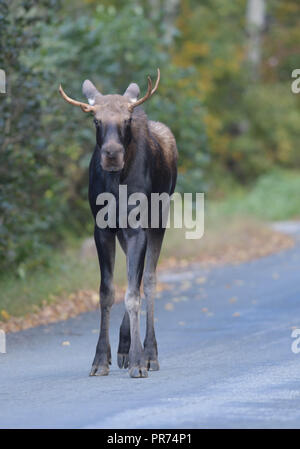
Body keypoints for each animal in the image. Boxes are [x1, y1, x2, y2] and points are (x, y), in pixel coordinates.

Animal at [59, 70, 177, 376]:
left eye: (127, 120)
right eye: (96, 120)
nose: (112, 153)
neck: (115, 185)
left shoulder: (137, 227)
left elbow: (133, 293)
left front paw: (138, 360)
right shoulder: (101, 228)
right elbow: (107, 291)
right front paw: (101, 358)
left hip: (159, 219)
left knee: (149, 280)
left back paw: (150, 352)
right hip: (124, 232)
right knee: (132, 276)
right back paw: (124, 348)